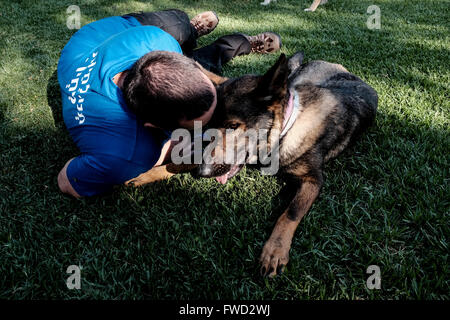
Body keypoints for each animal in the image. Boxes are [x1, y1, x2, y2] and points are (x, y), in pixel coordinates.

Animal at [125, 52, 376, 278]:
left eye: (233, 126)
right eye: (209, 128)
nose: (201, 173)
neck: (283, 130)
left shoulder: (313, 179)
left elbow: (290, 212)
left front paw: (275, 250)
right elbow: (182, 161)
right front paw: (149, 173)